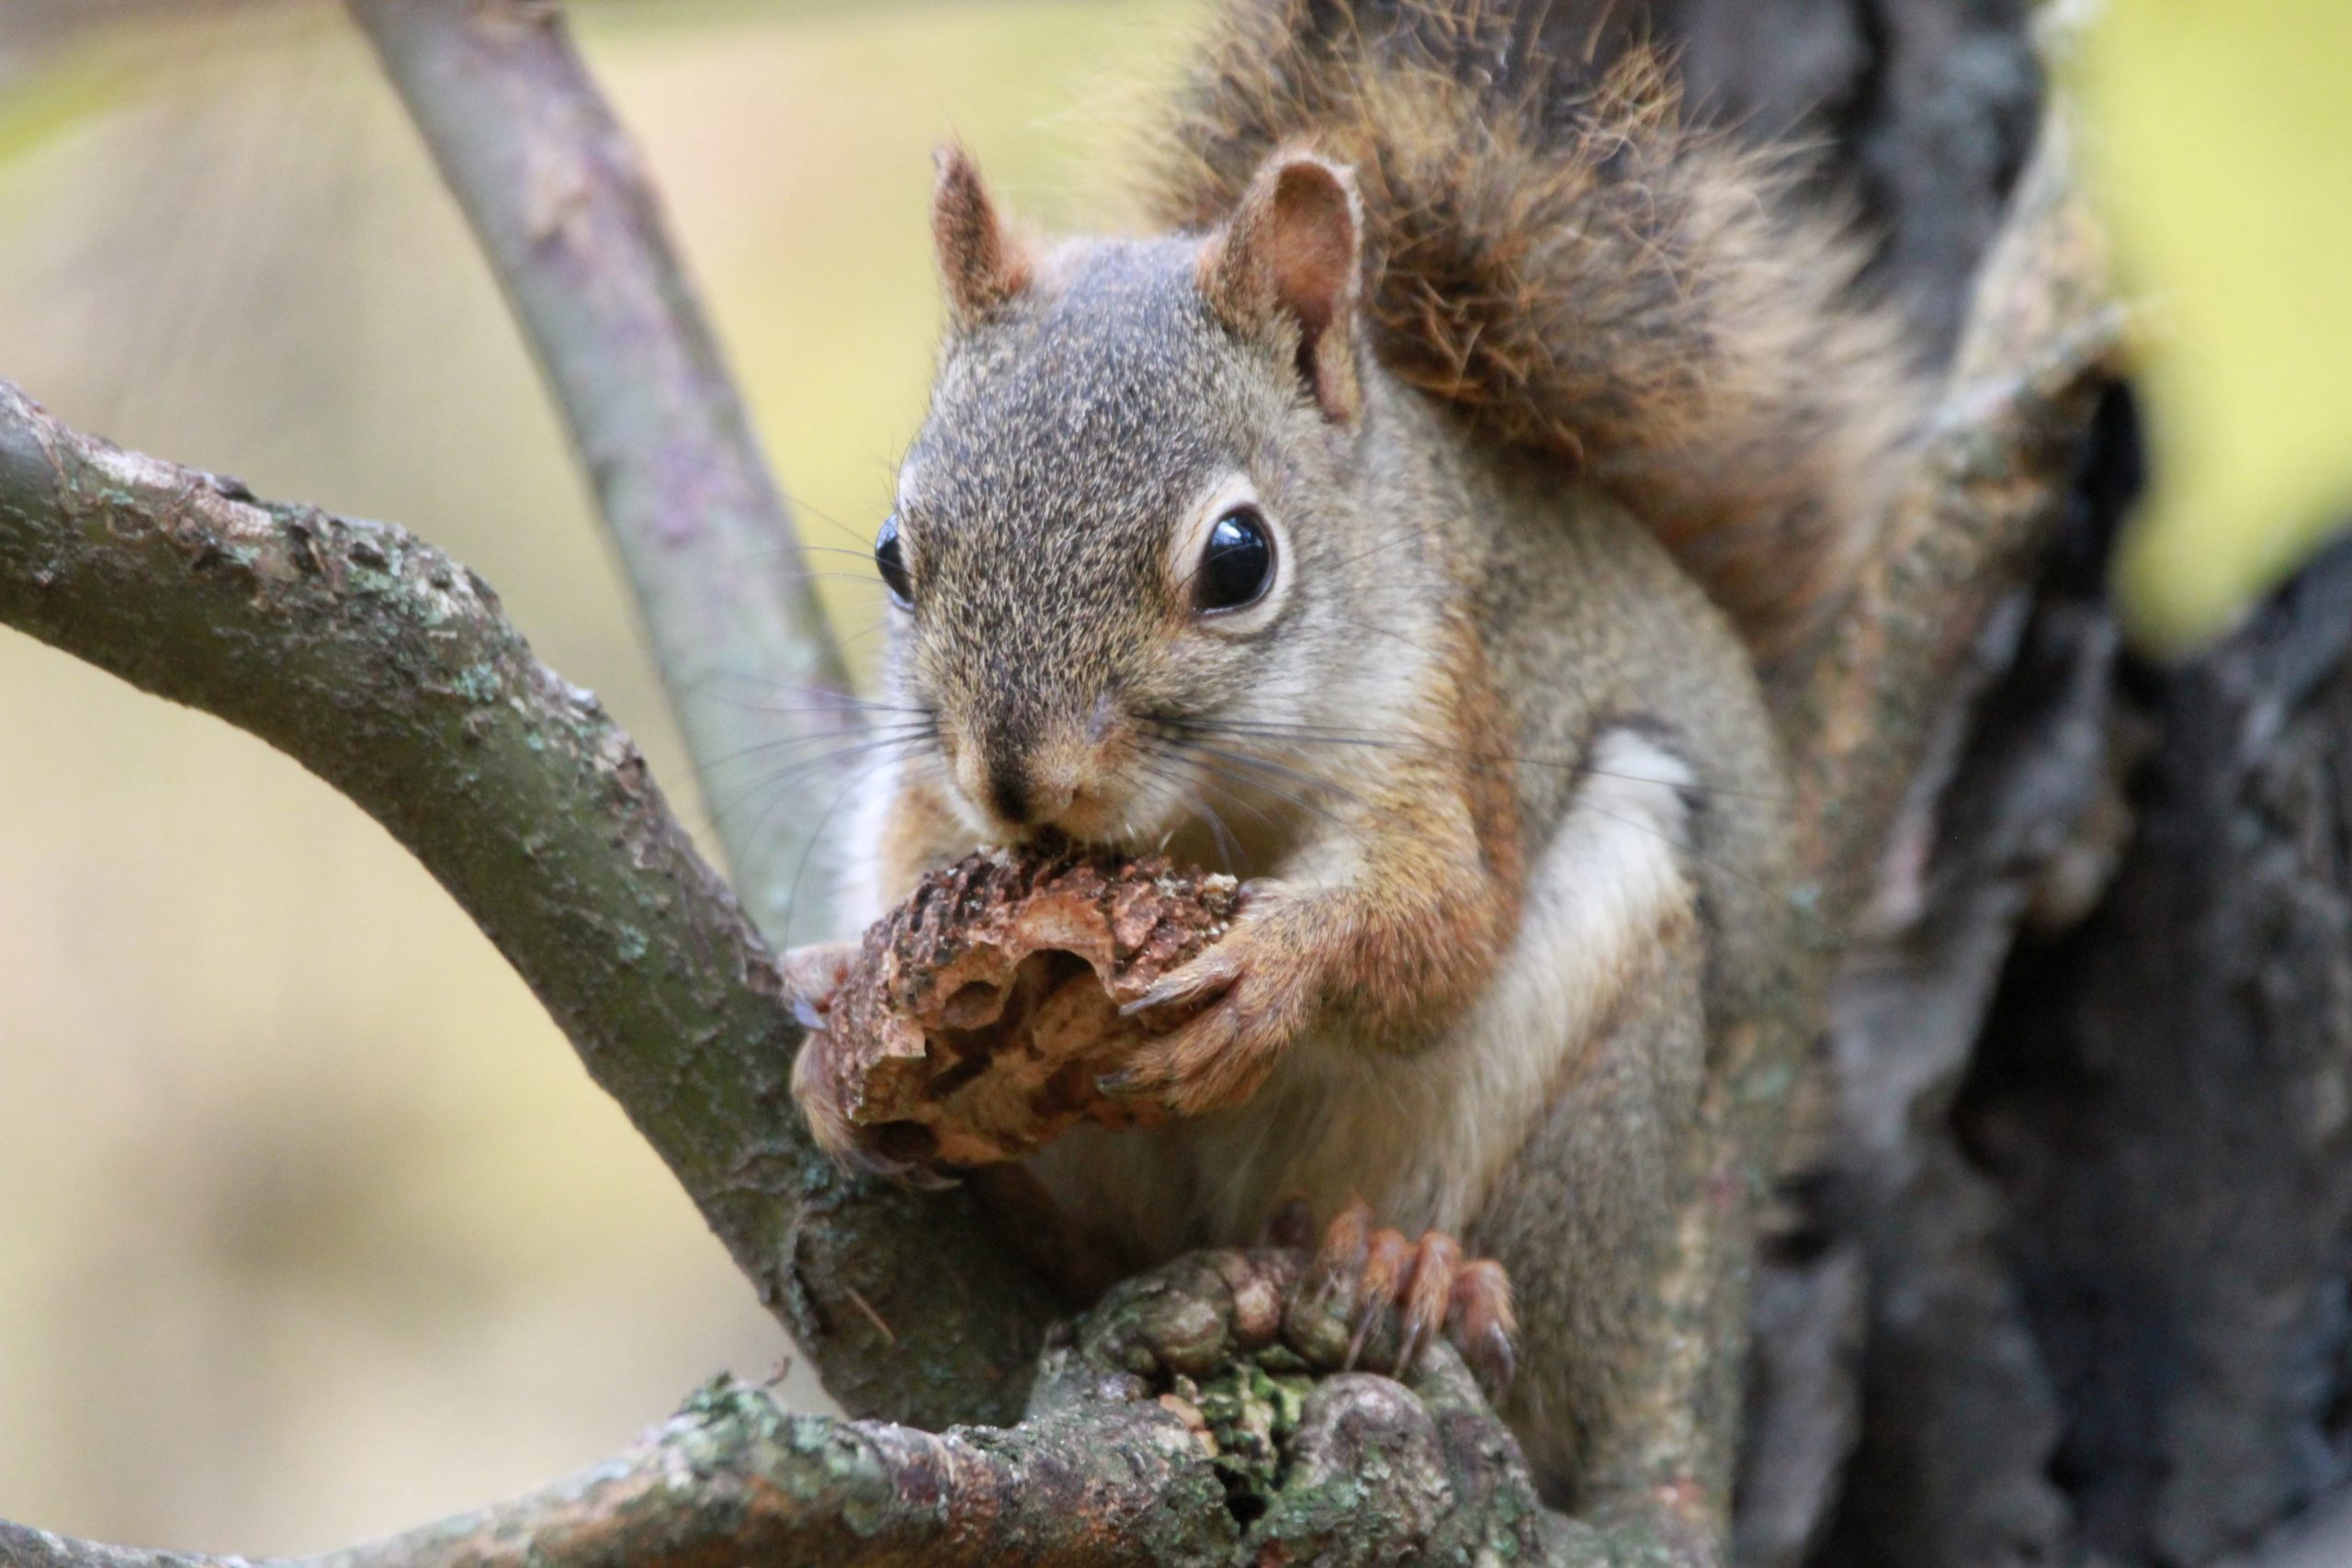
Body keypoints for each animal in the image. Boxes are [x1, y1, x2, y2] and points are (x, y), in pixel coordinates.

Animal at [780, 0, 1918, 1523]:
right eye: (898, 556)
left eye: (1240, 556)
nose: (1021, 784)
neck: (1198, 815)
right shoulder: (923, 783)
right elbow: (917, 848)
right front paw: (848, 993)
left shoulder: (1443, 719)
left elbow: (1439, 923)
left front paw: (1273, 966)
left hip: (1600, 1098)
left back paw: (1415, 1264)